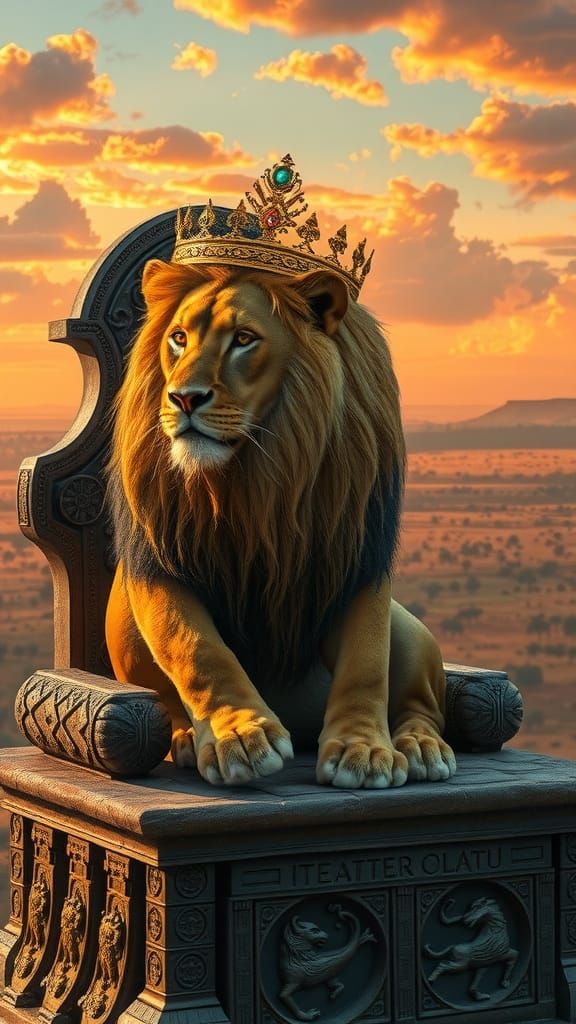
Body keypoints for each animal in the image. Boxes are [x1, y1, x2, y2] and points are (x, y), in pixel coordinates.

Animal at [104, 257, 456, 788]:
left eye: (244, 339)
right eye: (179, 338)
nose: (183, 398)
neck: (261, 471)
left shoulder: (359, 554)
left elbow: (366, 659)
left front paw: (363, 750)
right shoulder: (157, 563)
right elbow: (199, 651)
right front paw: (240, 737)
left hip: (412, 634)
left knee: (423, 703)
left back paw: (421, 745)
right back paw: (184, 738)